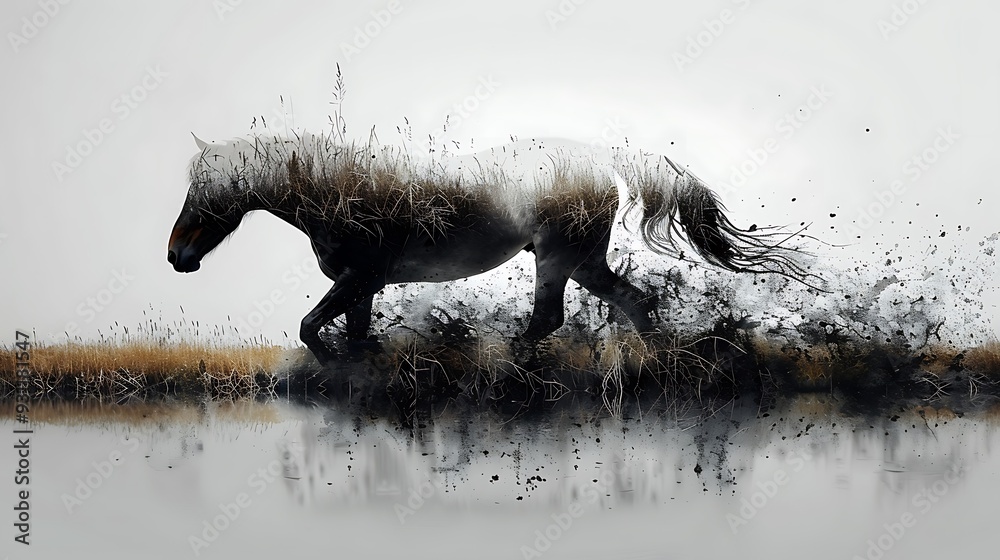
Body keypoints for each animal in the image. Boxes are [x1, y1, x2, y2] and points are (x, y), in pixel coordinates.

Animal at [167, 131, 810, 364]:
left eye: (207, 192)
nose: (177, 256)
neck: (341, 194)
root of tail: (597, 155)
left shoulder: (360, 277)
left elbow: (310, 328)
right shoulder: (360, 286)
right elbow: (353, 335)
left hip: (558, 259)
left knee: (548, 318)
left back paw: (505, 362)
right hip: (583, 262)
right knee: (634, 301)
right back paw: (657, 364)